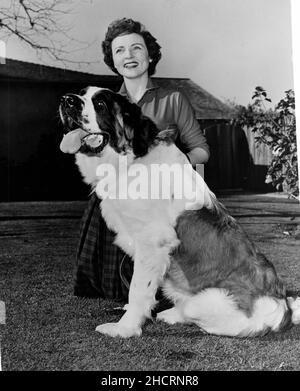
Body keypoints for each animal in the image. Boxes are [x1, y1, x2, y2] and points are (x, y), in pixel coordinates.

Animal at [59, 87, 300, 338]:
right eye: (81, 94)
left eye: (100, 104)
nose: (66, 100)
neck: (130, 159)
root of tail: (284, 308)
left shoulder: (152, 242)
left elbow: (138, 289)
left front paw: (125, 327)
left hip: (206, 301)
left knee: (194, 313)